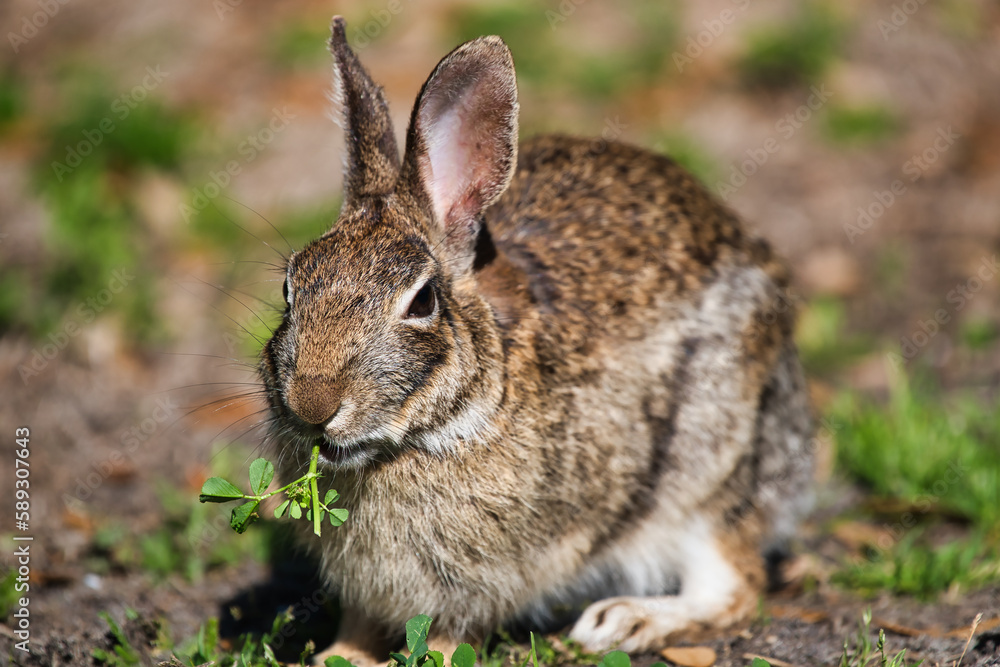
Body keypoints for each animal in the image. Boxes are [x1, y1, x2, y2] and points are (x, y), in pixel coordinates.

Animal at [259, 15, 813, 665]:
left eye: (422, 301)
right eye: (291, 287)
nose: (312, 404)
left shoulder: (484, 581)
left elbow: (452, 633)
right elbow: (361, 625)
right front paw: (337, 657)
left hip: (711, 470)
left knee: (733, 585)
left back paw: (622, 621)